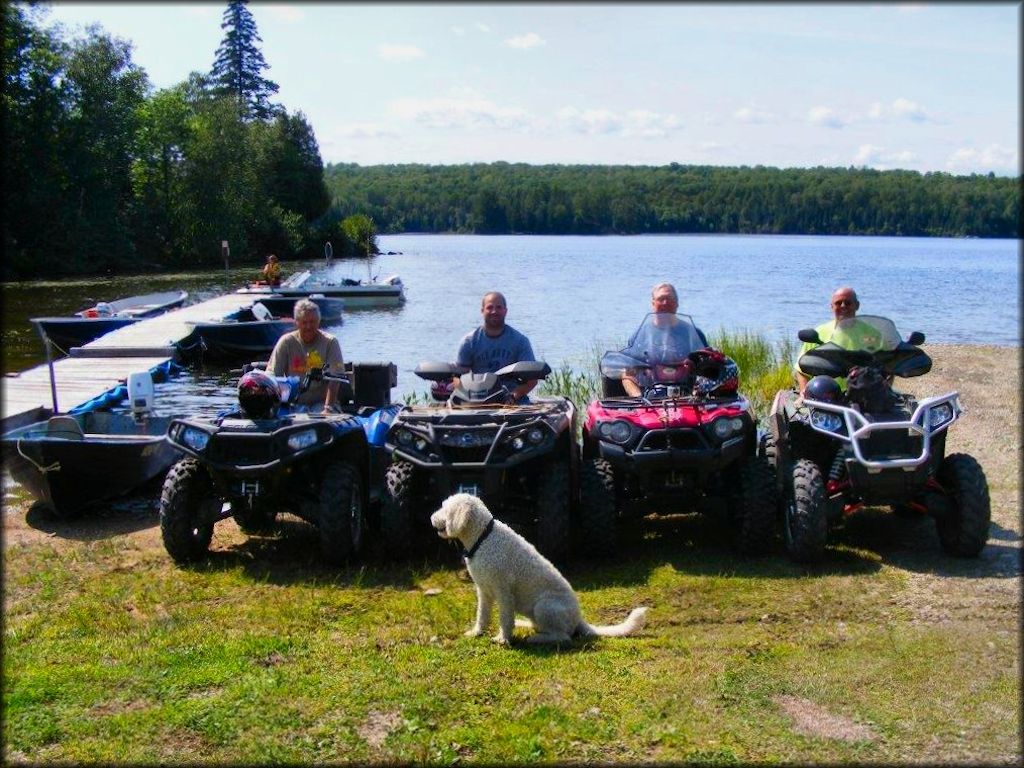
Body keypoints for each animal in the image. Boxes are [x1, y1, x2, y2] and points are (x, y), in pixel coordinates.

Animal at [430, 493, 647, 643]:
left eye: (445, 509)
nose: (431, 518)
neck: (483, 538)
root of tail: (579, 618)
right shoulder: (483, 591)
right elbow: (482, 615)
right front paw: (477, 632)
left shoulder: (503, 591)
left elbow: (505, 618)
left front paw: (503, 639)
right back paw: (526, 625)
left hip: (544, 606)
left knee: (563, 637)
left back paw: (535, 639)